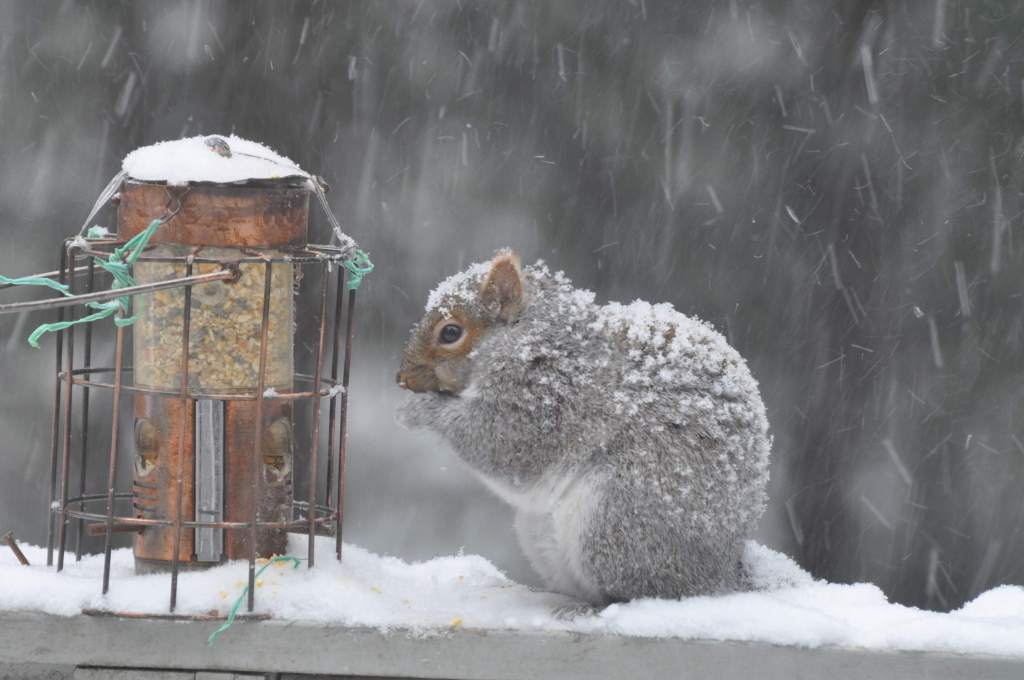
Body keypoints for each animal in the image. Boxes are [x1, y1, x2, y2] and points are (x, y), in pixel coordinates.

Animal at [395, 249, 770, 610]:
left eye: (450, 332)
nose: (401, 378)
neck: (525, 337)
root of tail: (722, 574)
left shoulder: (549, 401)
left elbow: (503, 448)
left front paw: (417, 410)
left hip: (618, 518)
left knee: (642, 591)